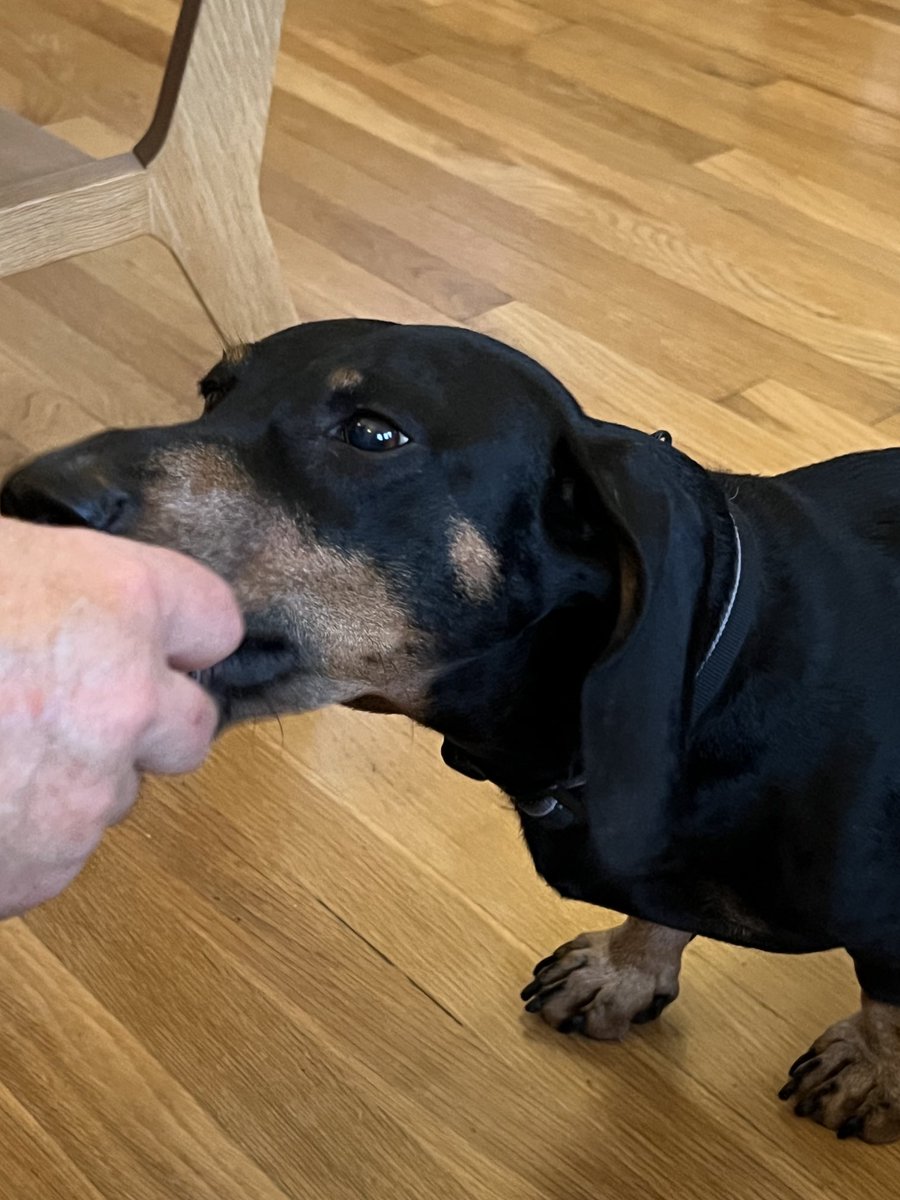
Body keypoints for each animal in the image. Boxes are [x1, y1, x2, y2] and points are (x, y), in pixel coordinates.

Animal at [5, 321, 900, 1142]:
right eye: (214, 391)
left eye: (373, 433)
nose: (29, 498)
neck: (717, 677)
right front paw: (623, 969)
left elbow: (884, 998)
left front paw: (871, 1070)